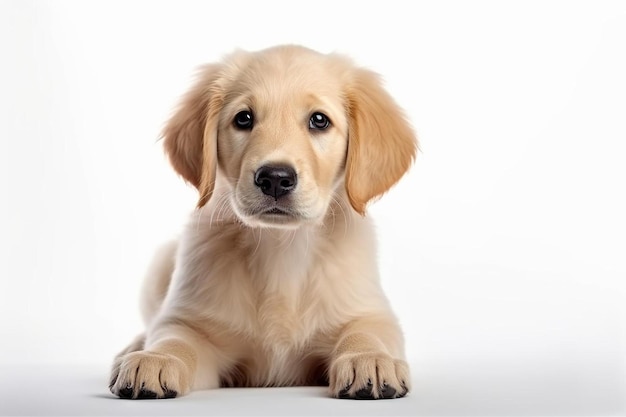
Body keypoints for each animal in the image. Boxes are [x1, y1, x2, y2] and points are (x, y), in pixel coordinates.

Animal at [109, 44, 416, 398]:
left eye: (319, 120)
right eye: (244, 118)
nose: (275, 179)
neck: (281, 245)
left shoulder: (370, 311)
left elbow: (367, 331)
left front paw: (370, 359)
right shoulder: (193, 321)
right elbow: (174, 337)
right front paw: (156, 359)